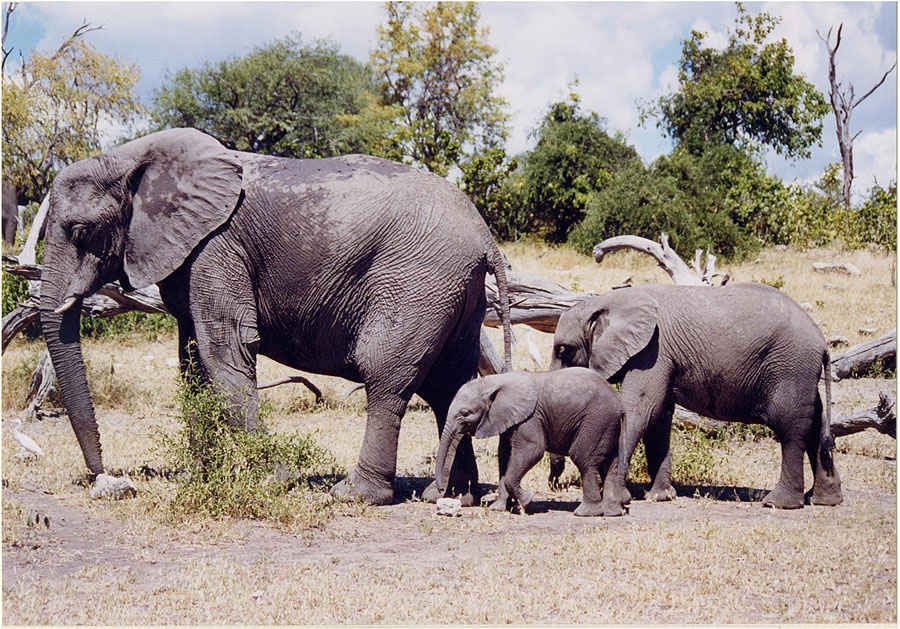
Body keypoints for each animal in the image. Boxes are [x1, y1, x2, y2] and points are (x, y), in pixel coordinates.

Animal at [40, 126, 512, 506]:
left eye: (80, 231)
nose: (108, 481)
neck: (132, 158)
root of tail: (486, 237)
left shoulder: (217, 245)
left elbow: (226, 348)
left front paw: (272, 479)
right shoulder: (190, 254)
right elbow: (191, 359)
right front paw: (206, 473)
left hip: (418, 282)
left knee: (386, 377)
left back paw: (354, 495)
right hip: (458, 291)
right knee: (450, 384)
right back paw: (453, 495)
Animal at [436, 368, 624, 516]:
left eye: (465, 413)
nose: (441, 491)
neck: (494, 381)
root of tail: (618, 400)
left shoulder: (529, 418)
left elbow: (533, 450)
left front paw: (527, 501)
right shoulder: (508, 419)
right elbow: (505, 456)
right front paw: (498, 508)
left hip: (597, 419)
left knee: (583, 458)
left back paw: (585, 513)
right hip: (609, 423)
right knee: (611, 463)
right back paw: (612, 512)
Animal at [548, 282, 844, 508]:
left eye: (563, 350)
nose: (555, 485)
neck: (610, 300)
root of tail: (822, 342)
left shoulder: (653, 351)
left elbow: (640, 409)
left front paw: (619, 499)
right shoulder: (662, 356)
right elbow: (658, 418)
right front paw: (661, 497)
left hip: (790, 367)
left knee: (791, 429)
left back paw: (777, 503)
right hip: (801, 373)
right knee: (815, 424)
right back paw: (824, 500)